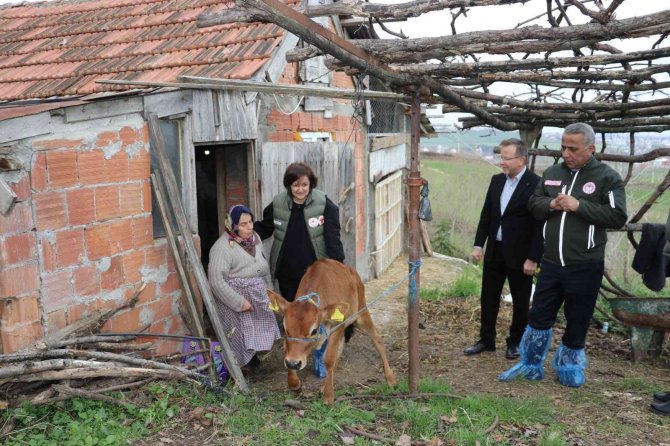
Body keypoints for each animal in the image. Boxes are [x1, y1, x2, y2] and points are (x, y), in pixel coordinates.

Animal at [268, 258, 396, 404]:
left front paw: (328, 396)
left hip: (360, 314)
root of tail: (351, 271)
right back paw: (324, 384)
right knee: (340, 349)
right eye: (285, 328)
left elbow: (329, 358)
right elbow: (287, 350)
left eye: (313, 331)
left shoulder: (338, 325)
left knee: (377, 339)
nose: (293, 363)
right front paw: (294, 383)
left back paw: (390, 378)